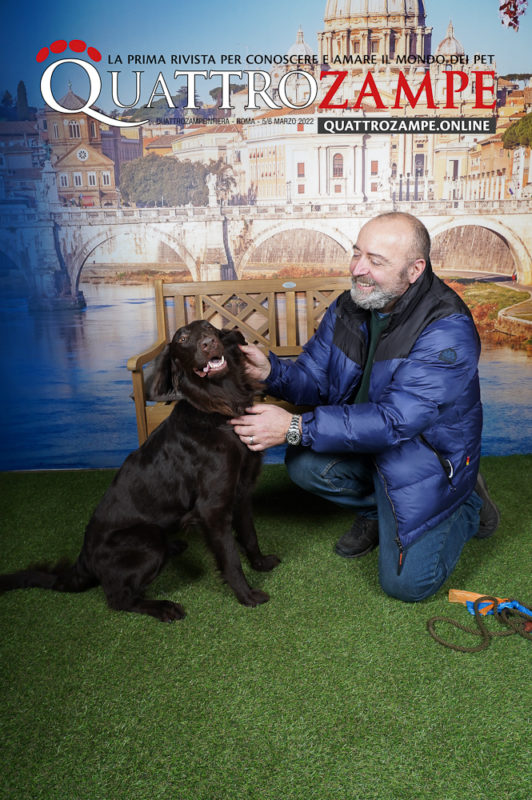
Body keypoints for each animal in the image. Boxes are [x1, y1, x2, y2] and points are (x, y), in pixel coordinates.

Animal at [0, 322, 280, 620]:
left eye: (208, 327)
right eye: (182, 339)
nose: (208, 343)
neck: (220, 404)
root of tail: (83, 560)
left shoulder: (242, 490)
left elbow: (249, 534)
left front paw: (261, 562)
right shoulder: (212, 507)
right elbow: (230, 556)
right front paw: (246, 595)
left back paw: (174, 547)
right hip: (148, 540)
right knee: (118, 598)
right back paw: (164, 607)